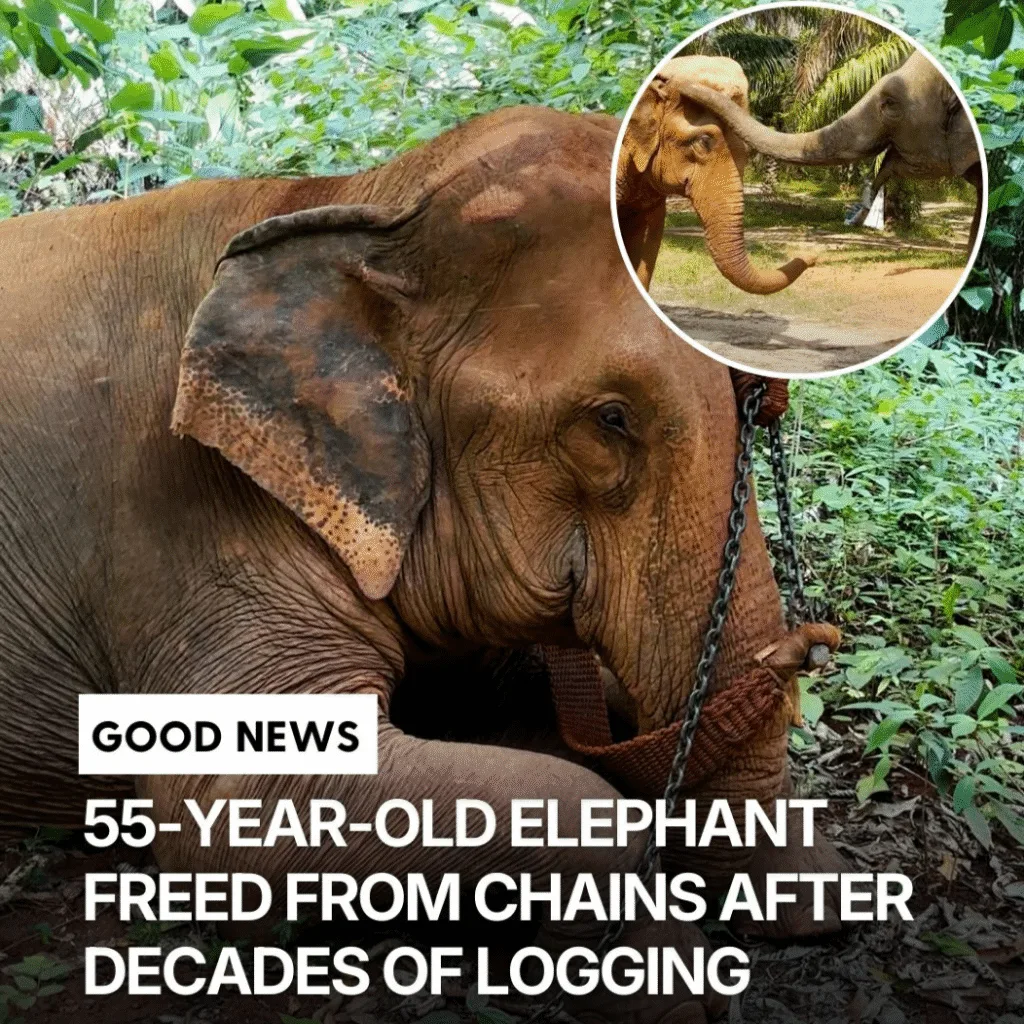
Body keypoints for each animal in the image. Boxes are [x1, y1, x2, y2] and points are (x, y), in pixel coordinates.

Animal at [0, 105, 846, 1023]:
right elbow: (247, 812)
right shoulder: (180, 518)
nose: (813, 643)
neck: (355, 199)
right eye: (611, 419)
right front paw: (672, 985)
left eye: (753, 398)